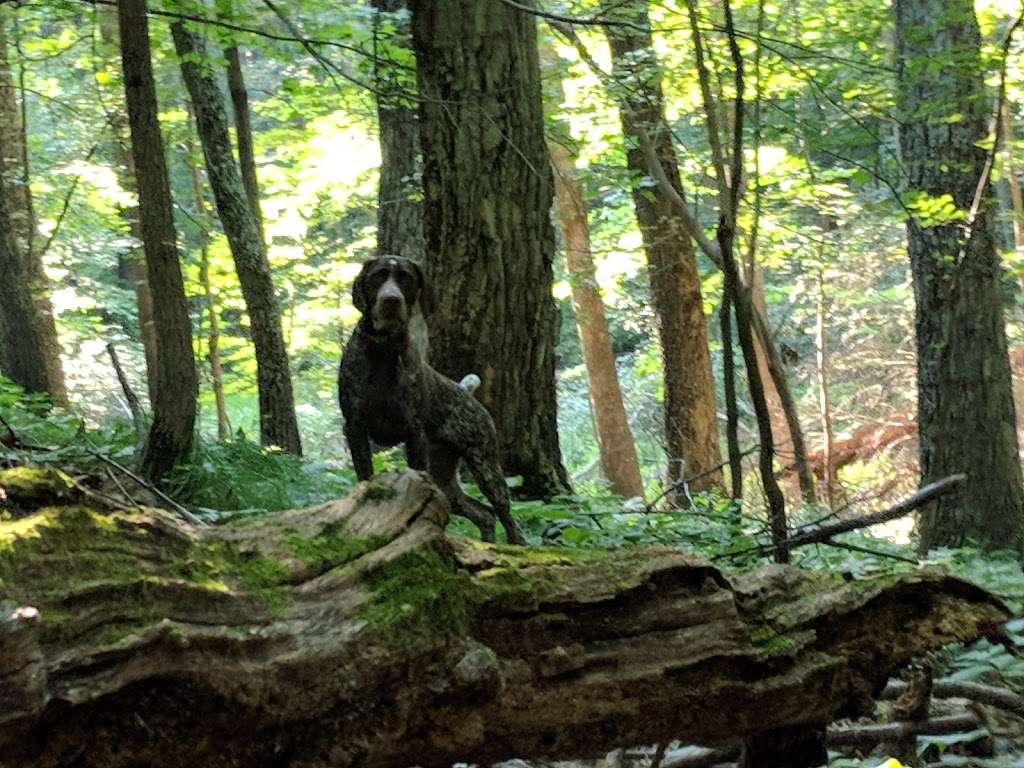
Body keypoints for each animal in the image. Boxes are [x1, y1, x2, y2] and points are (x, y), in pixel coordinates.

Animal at [337, 256, 524, 544]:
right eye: (378, 276)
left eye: (405, 277)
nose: (391, 300)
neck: (383, 350)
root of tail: (465, 391)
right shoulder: (354, 426)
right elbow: (364, 474)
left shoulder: (413, 431)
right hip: (445, 478)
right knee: (483, 513)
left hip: (486, 467)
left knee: (507, 517)